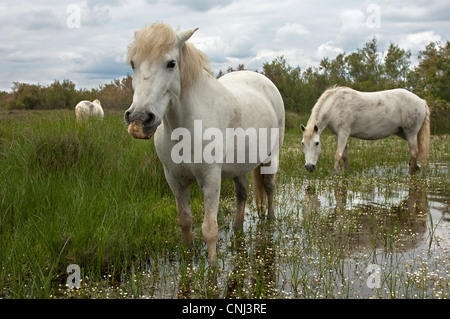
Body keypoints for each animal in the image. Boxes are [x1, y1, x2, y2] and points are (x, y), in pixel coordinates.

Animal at [123, 23, 284, 264]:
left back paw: (271, 220)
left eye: (171, 63)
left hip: (270, 157)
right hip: (238, 167)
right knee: (243, 192)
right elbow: (185, 220)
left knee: (270, 186)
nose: (140, 119)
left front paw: (213, 266)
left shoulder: (210, 178)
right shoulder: (174, 180)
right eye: (133, 63)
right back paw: (237, 227)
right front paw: (188, 256)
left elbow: (209, 228)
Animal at [300, 87, 430, 175]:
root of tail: (421, 101)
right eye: (303, 143)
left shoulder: (343, 133)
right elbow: (345, 156)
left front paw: (336, 174)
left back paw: (410, 173)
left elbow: (338, 155)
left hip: (410, 133)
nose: (309, 166)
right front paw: (347, 172)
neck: (335, 106)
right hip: (404, 133)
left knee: (414, 152)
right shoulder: (340, 135)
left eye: (317, 143)